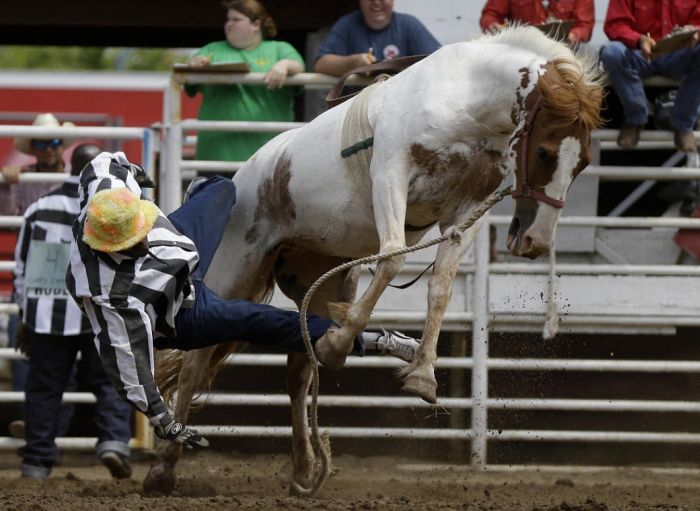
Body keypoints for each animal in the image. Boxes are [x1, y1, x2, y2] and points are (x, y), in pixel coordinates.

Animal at [146, 27, 600, 496]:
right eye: (544, 152)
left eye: (583, 162)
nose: (535, 241)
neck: (465, 100)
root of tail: (248, 173)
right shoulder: (391, 176)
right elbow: (393, 257)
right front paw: (342, 343)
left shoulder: (467, 210)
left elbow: (441, 287)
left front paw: (422, 374)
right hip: (237, 265)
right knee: (197, 360)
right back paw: (163, 469)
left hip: (322, 279)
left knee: (299, 369)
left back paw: (304, 469)